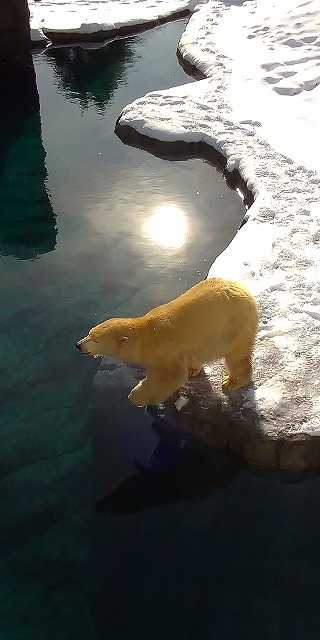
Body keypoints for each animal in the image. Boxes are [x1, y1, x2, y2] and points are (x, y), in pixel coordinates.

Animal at [76, 278, 258, 408]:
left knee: (237, 356)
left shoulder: (163, 349)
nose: (78, 345)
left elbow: (170, 376)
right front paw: (192, 370)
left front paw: (135, 397)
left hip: (235, 326)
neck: (145, 336)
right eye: (89, 333)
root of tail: (248, 294)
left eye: (96, 340)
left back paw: (232, 381)